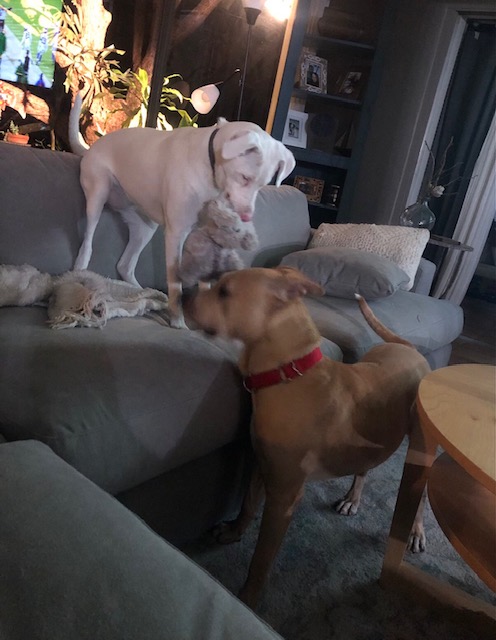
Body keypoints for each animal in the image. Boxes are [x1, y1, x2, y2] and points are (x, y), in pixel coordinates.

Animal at [69, 97, 294, 328]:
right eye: (244, 177)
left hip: (145, 227)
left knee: (125, 265)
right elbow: (176, 285)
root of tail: (89, 148)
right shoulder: (176, 234)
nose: (246, 216)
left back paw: (144, 293)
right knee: (88, 241)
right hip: (98, 194)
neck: (209, 164)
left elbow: (205, 278)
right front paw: (178, 322)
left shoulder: (206, 236)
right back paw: (81, 270)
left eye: (263, 185)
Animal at [186, 268, 430, 608]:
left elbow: (261, 558)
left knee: (420, 494)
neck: (288, 374)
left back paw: (416, 530)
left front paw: (247, 598)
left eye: (224, 291)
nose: (182, 293)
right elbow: (247, 505)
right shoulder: (261, 464)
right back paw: (353, 499)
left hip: (421, 448)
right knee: (365, 466)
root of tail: (410, 348)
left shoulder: (284, 496)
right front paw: (234, 533)